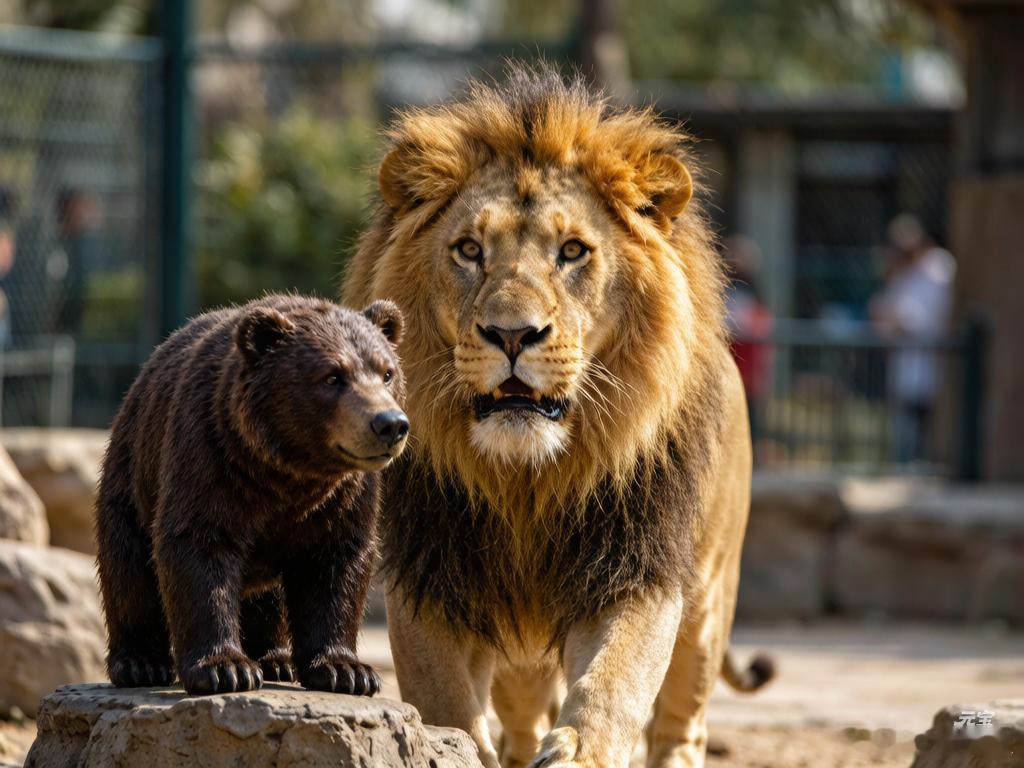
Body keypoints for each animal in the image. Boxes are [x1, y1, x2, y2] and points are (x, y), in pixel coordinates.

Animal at [94, 293, 408, 697]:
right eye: (333, 376)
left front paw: (347, 670)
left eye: (387, 372)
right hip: (131, 478)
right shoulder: (211, 455)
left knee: (267, 599)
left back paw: (276, 659)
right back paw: (140, 662)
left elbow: (337, 563)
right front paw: (225, 668)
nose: (390, 424)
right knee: (129, 570)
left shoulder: (346, 496)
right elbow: (199, 546)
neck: (289, 474)